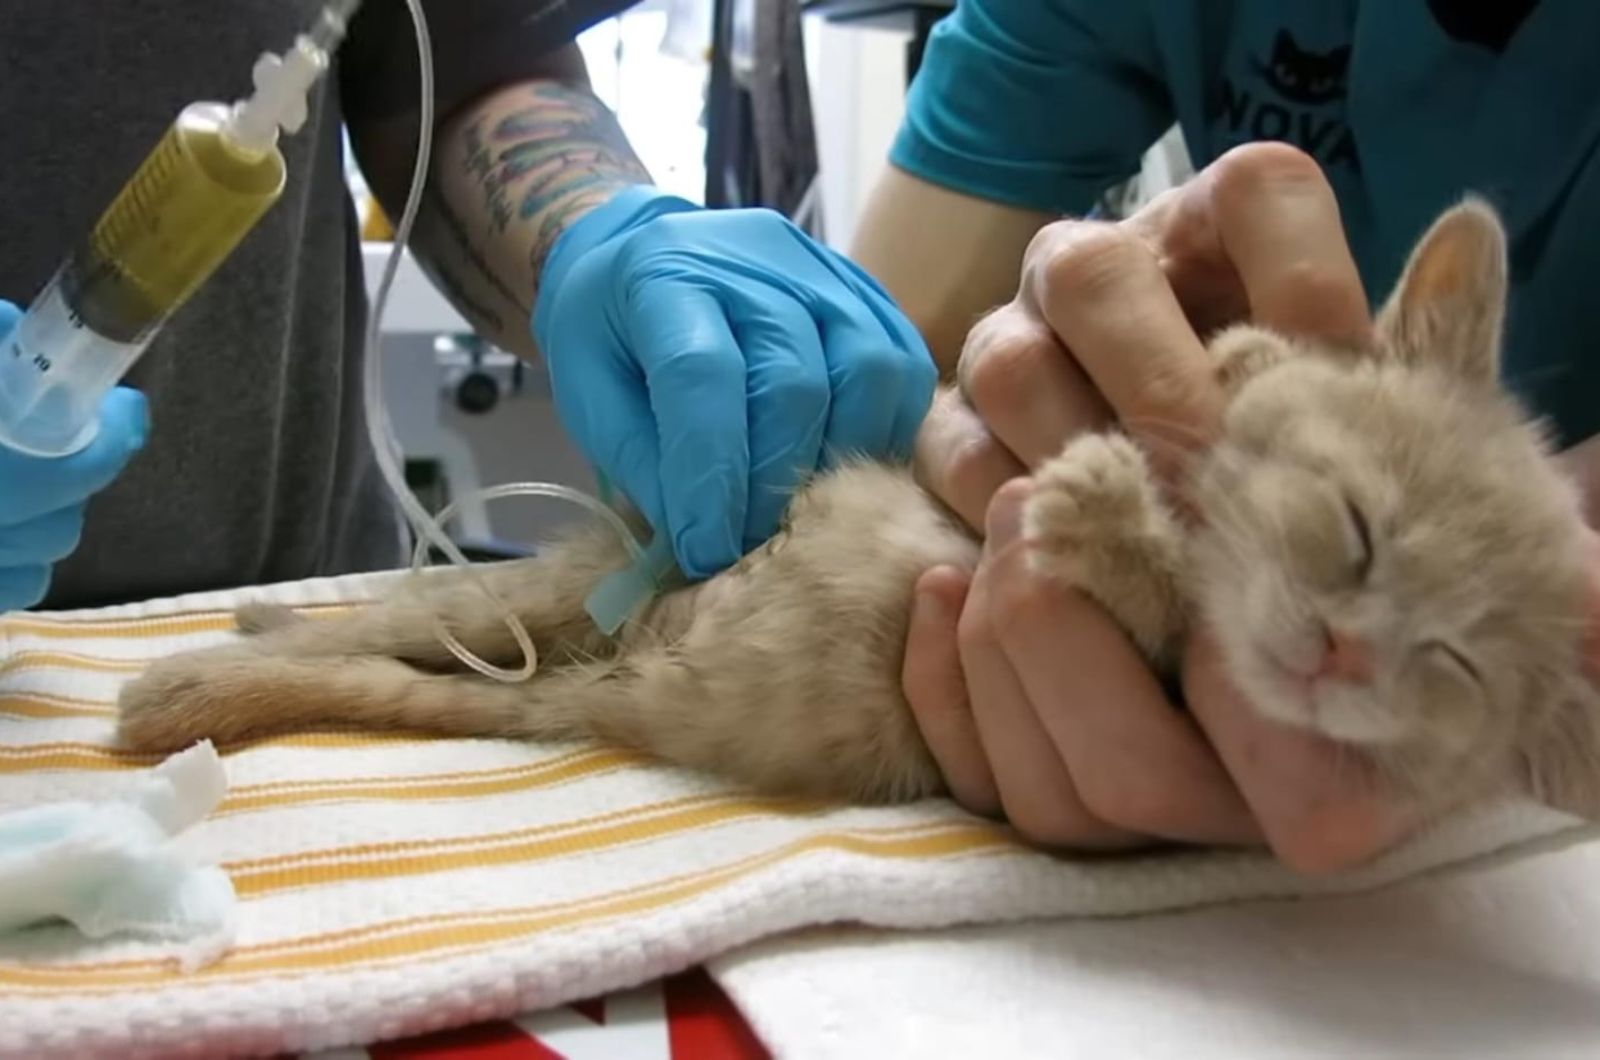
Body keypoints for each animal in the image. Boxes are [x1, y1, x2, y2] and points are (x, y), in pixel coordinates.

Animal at [118, 199, 1600, 819]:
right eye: (1353, 526)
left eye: (1453, 667)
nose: (1342, 653)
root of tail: (622, 659)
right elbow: (1226, 381)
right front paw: (1160, 440)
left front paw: (1108, 518)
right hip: (568, 590)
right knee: (413, 615)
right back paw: (242, 635)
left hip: (547, 695)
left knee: (395, 668)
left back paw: (193, 678)